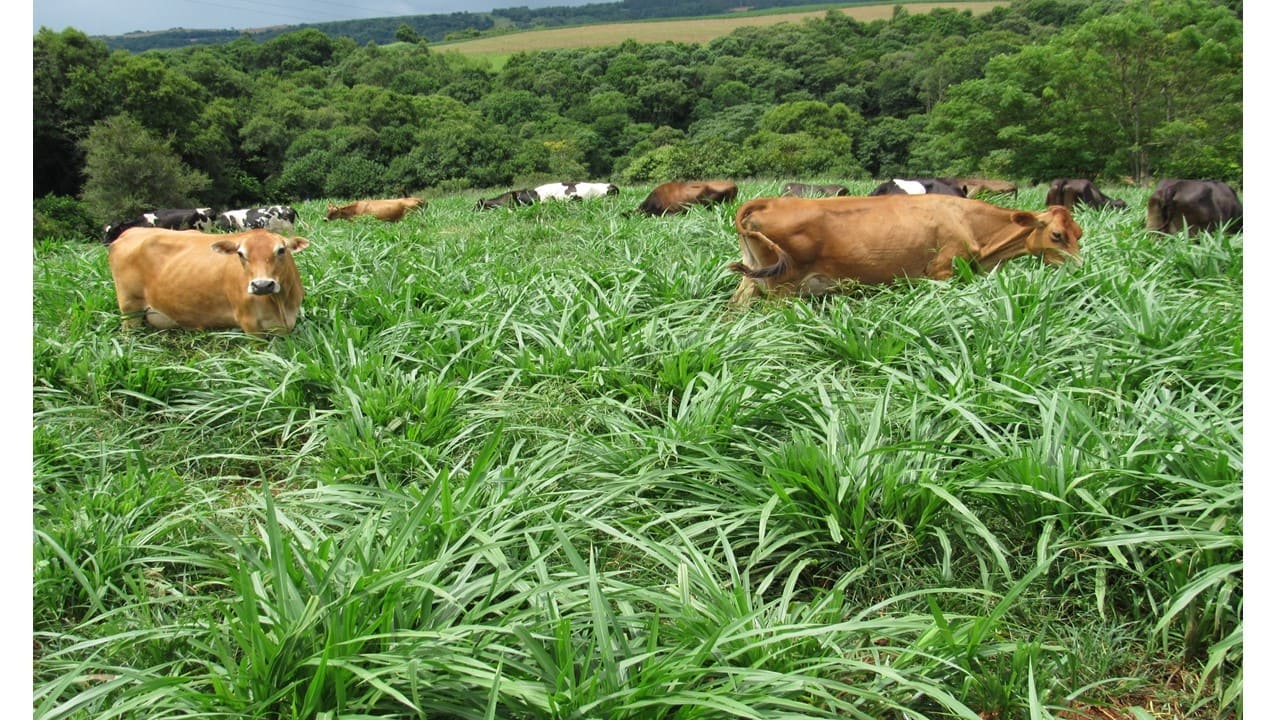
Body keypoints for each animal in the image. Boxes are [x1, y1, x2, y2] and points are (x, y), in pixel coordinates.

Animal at [108, 225, 309, 335]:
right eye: (240, 254)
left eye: (281, 250)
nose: (262, 285)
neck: (281, 304)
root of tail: (130, 232)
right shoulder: (249, 323)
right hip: (130, 309)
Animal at [732, 192, 1080, 303]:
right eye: (1057, 235)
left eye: (1079, 232)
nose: (1080, 268)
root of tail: (768, 200)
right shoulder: (943, 273)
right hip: (782, 290)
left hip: (752, 280)